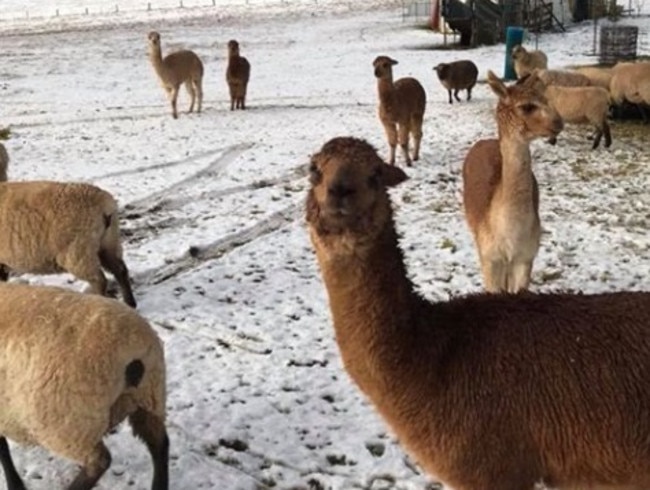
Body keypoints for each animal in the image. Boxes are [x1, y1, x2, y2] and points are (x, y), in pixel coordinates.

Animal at [0, 282, 168, 490]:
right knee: (159, 444)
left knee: (100, 461)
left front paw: (13, 483)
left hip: (70, 424)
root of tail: (132, 355)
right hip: (149, 396)